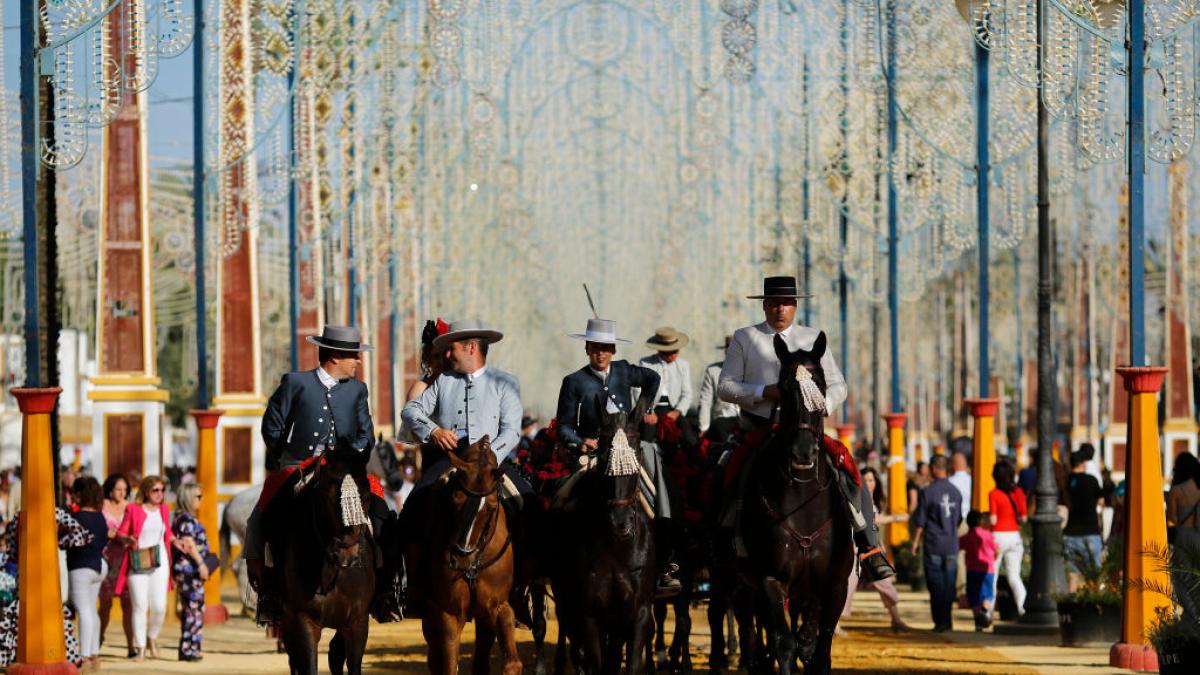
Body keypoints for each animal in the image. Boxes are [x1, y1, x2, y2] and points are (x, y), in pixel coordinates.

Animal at [420, 437, 518, 672]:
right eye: (455, 499)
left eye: (490, 506)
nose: (461, 557)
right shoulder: (449, 613)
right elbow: (448, 665)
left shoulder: (498, 607)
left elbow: (512, 662)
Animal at [729, 331, 854, 672]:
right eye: (783, 389)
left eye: (821, 386)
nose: (802, 452)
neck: (804, 502)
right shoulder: (771, 580)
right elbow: (783, 643)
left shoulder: (833, 584)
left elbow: (818, 646)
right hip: (736, 580)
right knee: (748, 626)